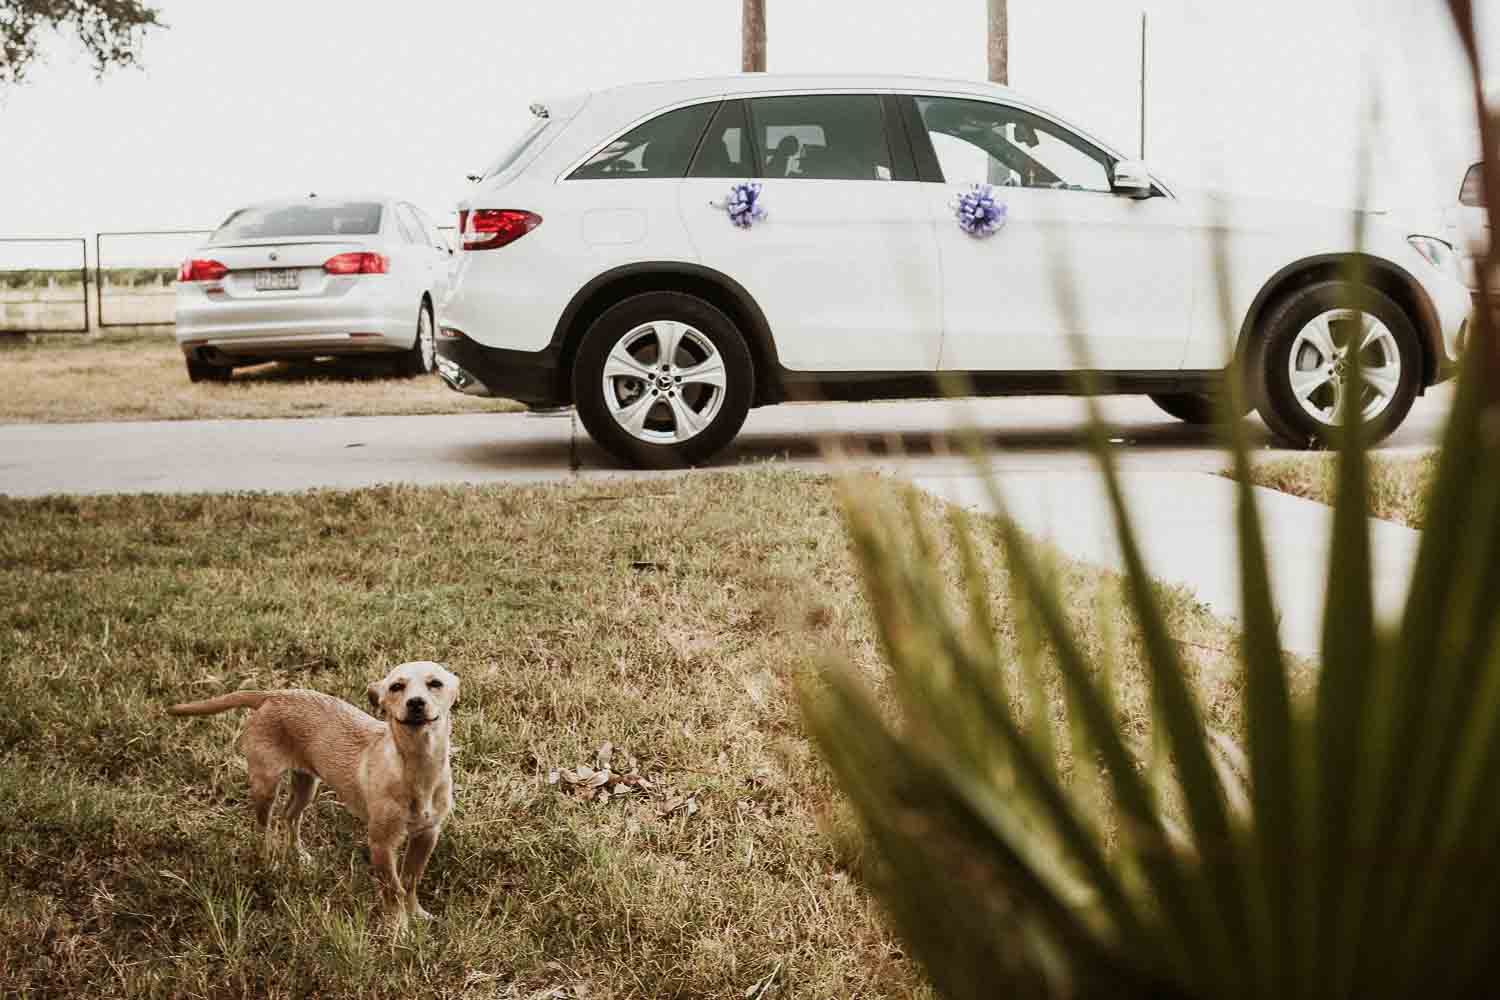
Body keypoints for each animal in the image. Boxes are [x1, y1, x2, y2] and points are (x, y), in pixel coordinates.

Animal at [168, 659, 456, 929]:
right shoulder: (382, 844)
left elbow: (410, 880)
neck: (418, 765)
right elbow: (393, 889)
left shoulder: (427, 834)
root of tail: (272, 694)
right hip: (265, 785)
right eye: (396, 687)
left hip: (306, 784)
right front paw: (399, 928)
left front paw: (417, 914)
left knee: (290, 816)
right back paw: (268, 860)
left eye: (435, 684)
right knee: (264, 828)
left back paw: (299, 856)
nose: (416, 703)